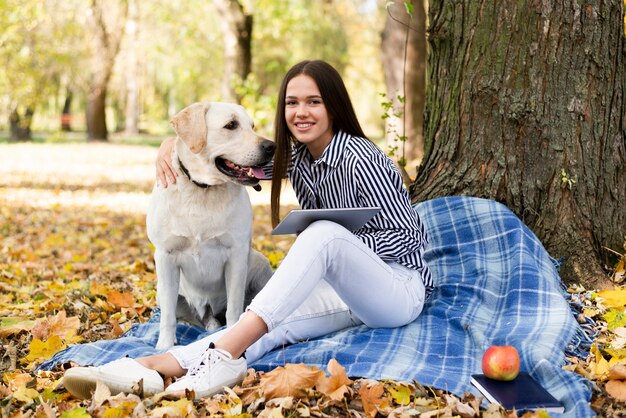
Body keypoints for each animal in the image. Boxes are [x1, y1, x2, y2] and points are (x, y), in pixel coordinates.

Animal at [147, 102, 274, 350]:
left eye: (252, 126)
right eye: (231, 125)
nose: (271, 147)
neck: (202, 190)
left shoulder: (236, 254)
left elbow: (234, 309)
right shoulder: (165, 256)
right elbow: (167, 316)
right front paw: (165, 345)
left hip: (259, 262)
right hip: (163, 290)